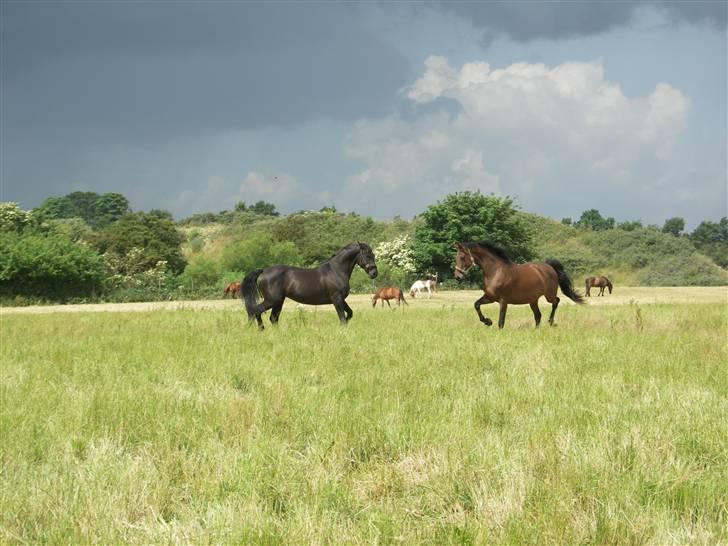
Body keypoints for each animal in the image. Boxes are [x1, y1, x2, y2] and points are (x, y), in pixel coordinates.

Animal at [242, 241, 378, 328]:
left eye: (373, 255)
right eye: (367, 255)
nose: (374, 273)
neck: (336, 270)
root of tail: (263, 271)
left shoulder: (341, 299)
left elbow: (349, 314)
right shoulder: (337, 299)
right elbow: (343, 318)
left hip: (278, 301)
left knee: (273, 318)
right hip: (272, 300)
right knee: (257, 312)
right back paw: (261, 329)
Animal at [452, 241, 584, 328]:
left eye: (462, 257)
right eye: (456, 257)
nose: (457, 277)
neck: (496, 271)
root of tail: (549, 267)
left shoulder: (503, 301)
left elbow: (501, 321)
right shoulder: (490, 297)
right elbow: (476, 305)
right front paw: (487, 321)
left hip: (548, 295)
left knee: (556, 302)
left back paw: (551, 321)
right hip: (533, 300)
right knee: (538, 315)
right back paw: (537, 329)